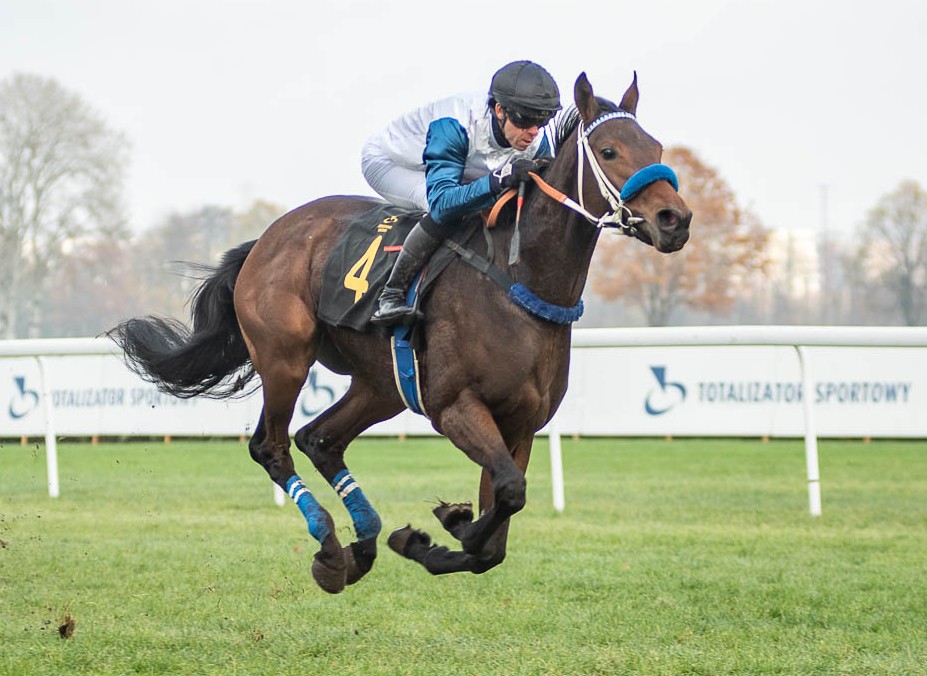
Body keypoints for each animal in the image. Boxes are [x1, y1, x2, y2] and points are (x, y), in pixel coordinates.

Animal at [110, 72, 692, 594]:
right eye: (610, 151)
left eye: (656, 146)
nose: (675, 219)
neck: (518, 281)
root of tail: (266, 239)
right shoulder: (455, 406)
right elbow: (506, 495)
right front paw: (448, 524)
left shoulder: (522, 423)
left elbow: (496, 538)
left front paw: (425, 538)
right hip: (285, 358)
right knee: (271, 446)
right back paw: (330, 548)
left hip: (382, 384)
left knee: (320, 439)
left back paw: (360, 545)